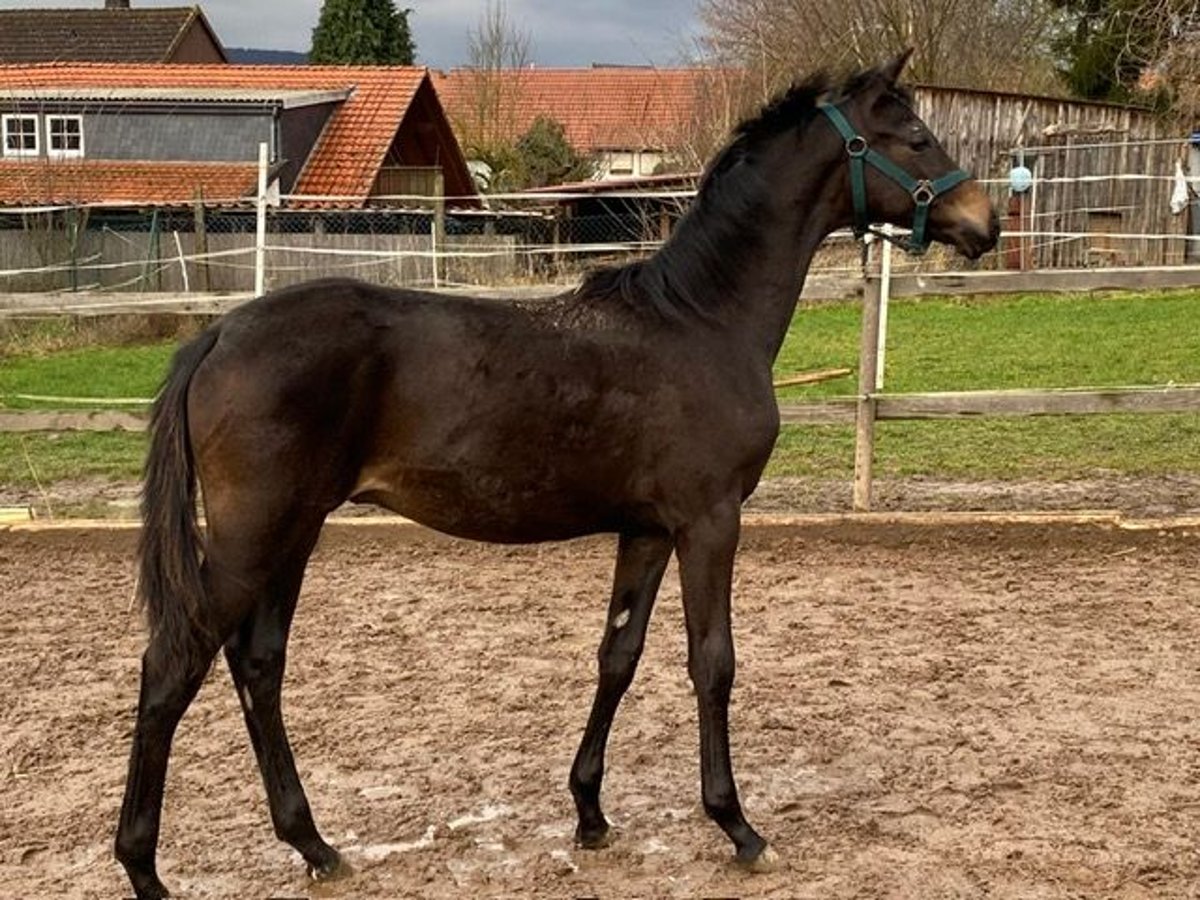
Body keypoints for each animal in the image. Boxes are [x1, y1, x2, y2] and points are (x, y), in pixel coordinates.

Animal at [114, 52, 993, 897]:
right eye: (915, 137)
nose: (984, 221)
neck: (701, 320)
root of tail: (219, 334)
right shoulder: (709, 520)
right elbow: (712, 662)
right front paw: (737, 826)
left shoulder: (646, 530)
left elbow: (618, 656)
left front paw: (591, 813)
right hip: (254, 536)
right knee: (172, 664)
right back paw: (144, 866)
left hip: (291, 535)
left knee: (258, 665)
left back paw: (314, 846)